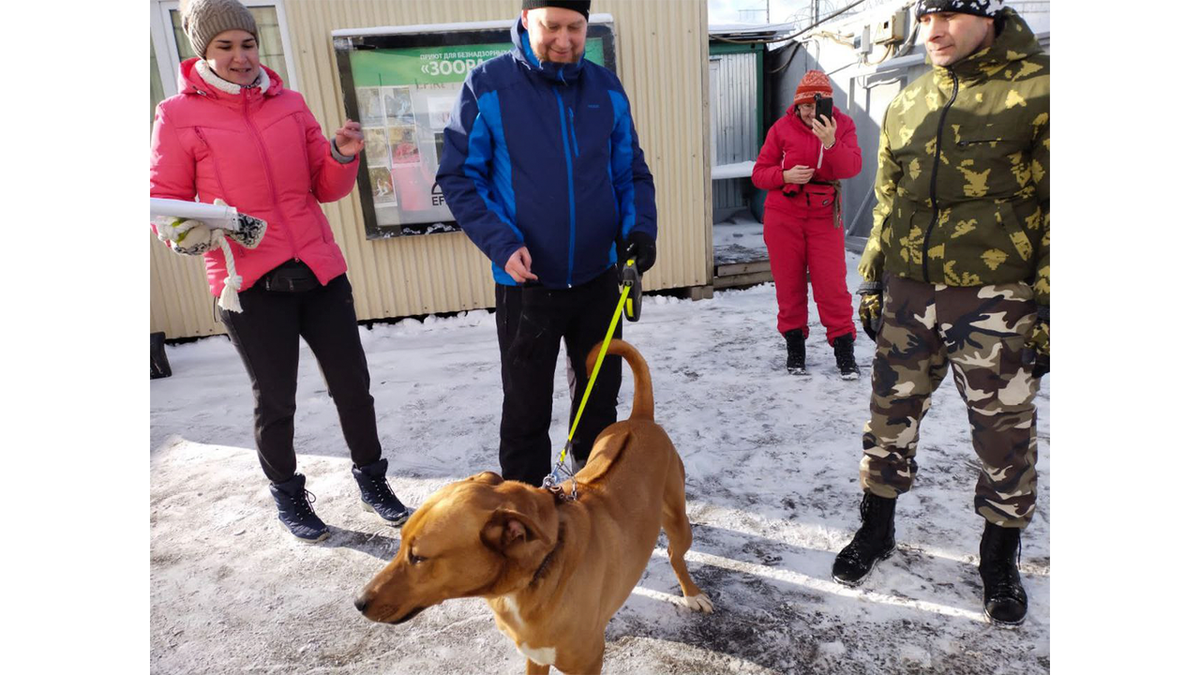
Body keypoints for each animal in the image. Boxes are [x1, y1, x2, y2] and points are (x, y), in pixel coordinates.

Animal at [355, 338, 710, 667]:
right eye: (400, 544)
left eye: (418, 557)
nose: (358, 602)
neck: (528, 579)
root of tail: (640, 420)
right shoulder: (535, 654)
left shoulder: (587, 660)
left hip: (679, 521)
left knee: (675, 553)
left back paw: (692, 593)